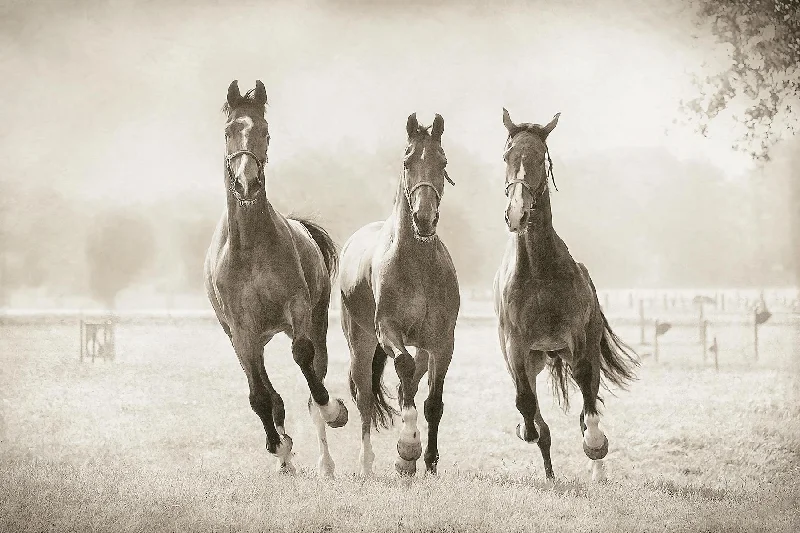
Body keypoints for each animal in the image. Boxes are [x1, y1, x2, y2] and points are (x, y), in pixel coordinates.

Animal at [203, 79, 346, 474]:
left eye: (265, 132)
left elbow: (302, 356)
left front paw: (335, 410)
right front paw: (278, 447)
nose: (246, 183)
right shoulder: (242, 330)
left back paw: (326, 461)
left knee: (315, 375)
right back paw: (284, 456)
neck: (250, 245)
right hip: (248, 338)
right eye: (228, 131)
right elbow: (259, 396)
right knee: (268, 391)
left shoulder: (297, 308)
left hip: (316, 319)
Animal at [340, 114, 462, 476]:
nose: (424, 219)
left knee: (409, 383)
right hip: (361, 343)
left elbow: (433, 401)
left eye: (443, 162)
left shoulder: (442, 342)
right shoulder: (387, 330)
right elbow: (403, 367)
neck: (417, 265)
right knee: (365, 396)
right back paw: (367, 463)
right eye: (407, 162)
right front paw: (407, 448)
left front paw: (430, 461)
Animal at [494, 108, 636, 482]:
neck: (538, 270)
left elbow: (587, 398)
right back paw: (549, 474)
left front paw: (596, 444)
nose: (517, 213)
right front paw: (527, 430)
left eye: (540, 158)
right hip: (536, 358)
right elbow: (525, 402)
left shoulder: (578, 342)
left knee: (590, 398)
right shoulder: (516, 347)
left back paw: (596, 469)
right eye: (507, 156)